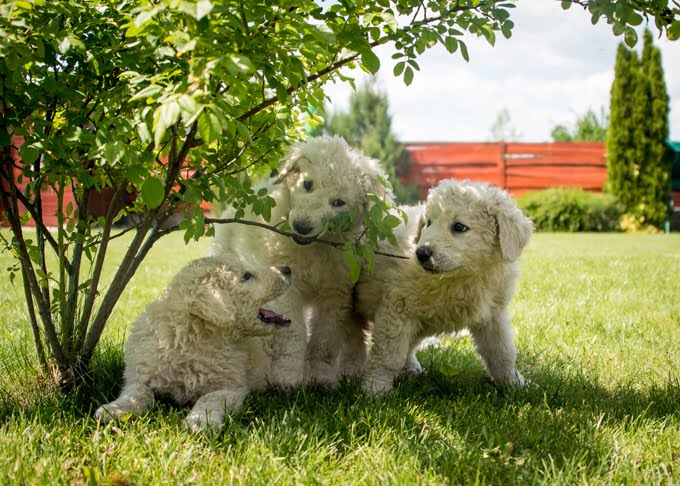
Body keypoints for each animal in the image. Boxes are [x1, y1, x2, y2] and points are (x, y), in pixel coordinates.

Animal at [93, 256, 292, 430]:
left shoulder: (231, 387)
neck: (194, 337)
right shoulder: (140, 375)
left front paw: (200, 420)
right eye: (246, 276)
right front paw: (115, 410)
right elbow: (138, 391)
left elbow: (210, 399)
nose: (287, 269)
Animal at [212, 135, 394, 386]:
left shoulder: (335, 293)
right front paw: (287, 377)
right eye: (307, 184)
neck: (314, 248)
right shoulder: (288, 288)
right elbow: (293, 334)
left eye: (338, 202)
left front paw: (320, 377)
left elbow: (325, 339)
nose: (301, 227)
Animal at [358, 180, 532, 392]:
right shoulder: (396, 309)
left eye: (459, 227)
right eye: (428, 223)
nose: (421, 254)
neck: (461, 277)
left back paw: (412, 369)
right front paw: (375, 388)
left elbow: (502, 353)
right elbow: (388, 356)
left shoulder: (492, 315)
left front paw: (515, 384)